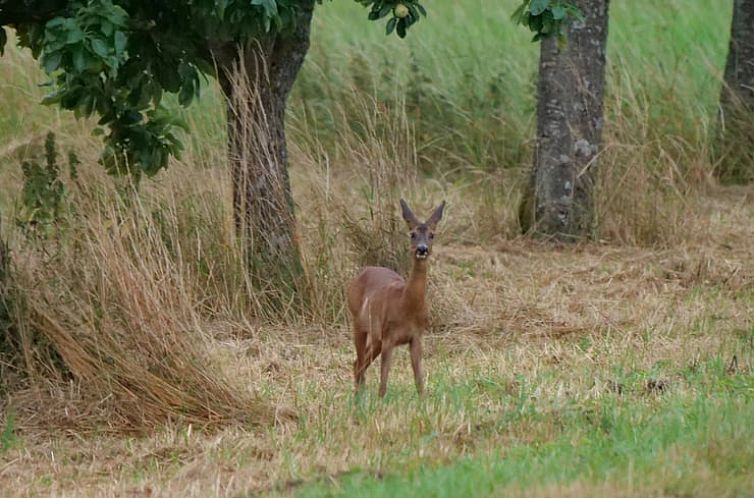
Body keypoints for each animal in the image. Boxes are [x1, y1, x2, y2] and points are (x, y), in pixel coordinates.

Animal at [346, 198, 444, 396]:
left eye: (432, 235)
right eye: (412, 234)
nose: (422, 249)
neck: (405, 303)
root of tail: (362, 272)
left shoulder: (416, 337)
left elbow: (419, 381)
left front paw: (424, 401)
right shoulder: (389, 337)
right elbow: (383, 382)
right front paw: (380, 400)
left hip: (376, 336)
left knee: (359, 363)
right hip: (359, 322)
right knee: (359, 363)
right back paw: (358, 398)